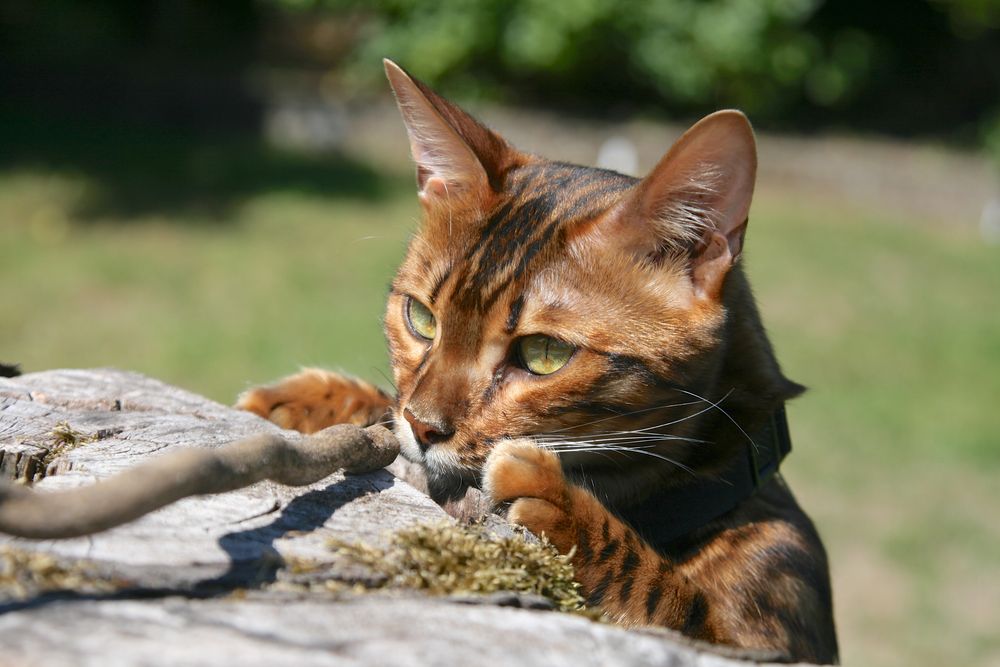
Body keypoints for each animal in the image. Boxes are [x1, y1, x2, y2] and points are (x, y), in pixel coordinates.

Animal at [238, 61, 840, 664]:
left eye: (544, 355)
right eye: (421, 317)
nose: (423, 427)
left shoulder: (769, 641)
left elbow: (673, 598)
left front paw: (560, 504)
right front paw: (320, 401)